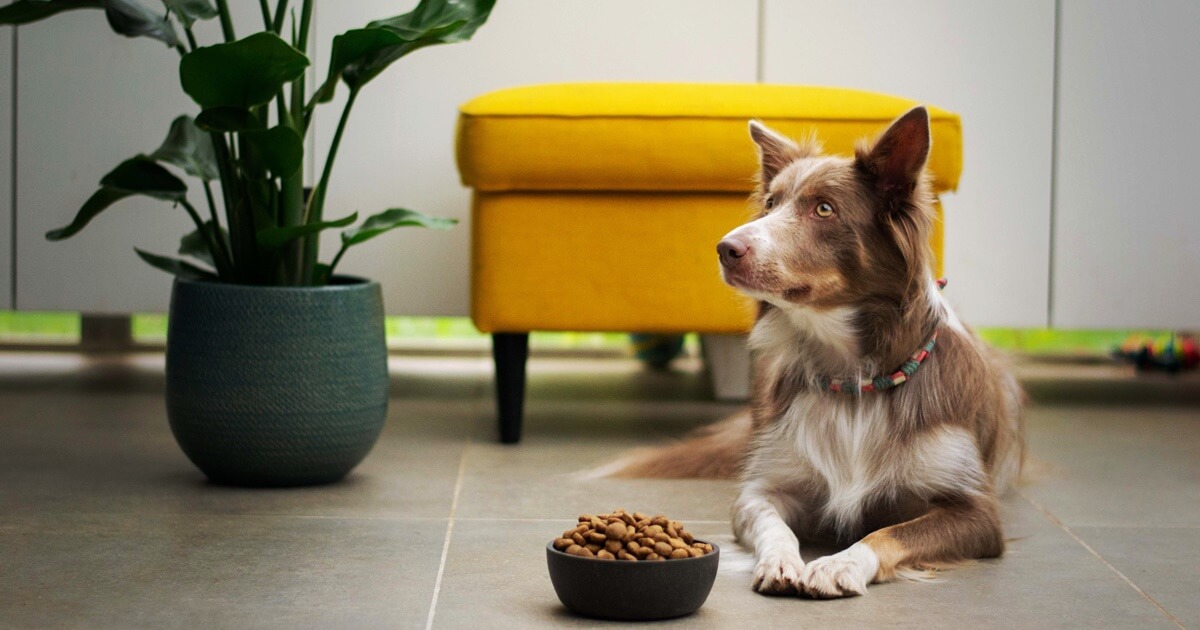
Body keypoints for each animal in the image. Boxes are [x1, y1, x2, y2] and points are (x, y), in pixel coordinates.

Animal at [619, 108, 1022, 600]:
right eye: (770, 204)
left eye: (824, 209)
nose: (725, 249)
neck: (855, 380)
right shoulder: (762, 487)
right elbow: (773, 524)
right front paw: (780, 561)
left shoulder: (977, 513)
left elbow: (887, 533)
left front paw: (839, 564)